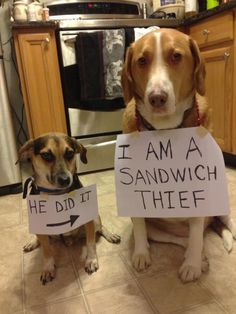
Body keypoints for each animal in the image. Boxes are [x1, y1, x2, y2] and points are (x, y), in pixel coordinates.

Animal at [18, 132, 120, 284]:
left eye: (70, 153)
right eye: (46, 155)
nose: (65, 180)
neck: (56, 195)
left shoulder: (88, 221)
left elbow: (91, 244)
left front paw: (91, 260)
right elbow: (46, 251)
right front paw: (48, 267)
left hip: (95, 220)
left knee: (100, 228)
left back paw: (111, 235)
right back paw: (33, 242)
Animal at [121, 28, 236, 282]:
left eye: (176, 56)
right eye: (141, 61)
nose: (157, 98)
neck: (166, 132)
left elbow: (195, 235)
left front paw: (191, 265)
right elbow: (140, 228)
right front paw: (141, 254)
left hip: (220, 203)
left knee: (219, 227)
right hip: (158, 229)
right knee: (182, 238)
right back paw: (200, 256)